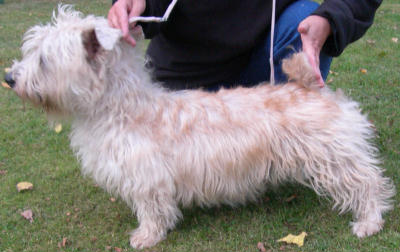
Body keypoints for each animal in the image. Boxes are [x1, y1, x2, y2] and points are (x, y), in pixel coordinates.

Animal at [5, 5, 394, 248]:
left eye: (44, 60)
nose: (9, 78)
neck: (122, 108)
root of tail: (309, 86)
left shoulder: (148, 179)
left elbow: (152, 209)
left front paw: (146, 236)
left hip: (334, 156)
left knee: (368, 182)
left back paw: (369, 222)